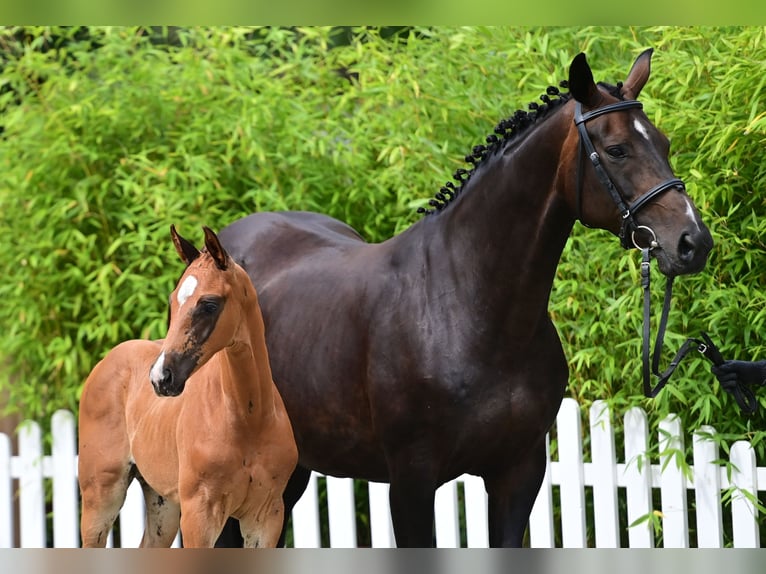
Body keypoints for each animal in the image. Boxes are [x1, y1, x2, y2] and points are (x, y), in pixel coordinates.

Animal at [78, 227, 298, 552]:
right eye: (172, 301)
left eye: (209, 304)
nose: (160, 378)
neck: (250, 420)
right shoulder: (199, 514)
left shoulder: (267, 516)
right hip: (101, 494)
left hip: (162, 503)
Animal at [216, 49, 712, 548]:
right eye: (616, 150)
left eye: (664, 143)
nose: (693, 243)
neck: (470, 309)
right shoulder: (411, 485)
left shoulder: (519, 473)